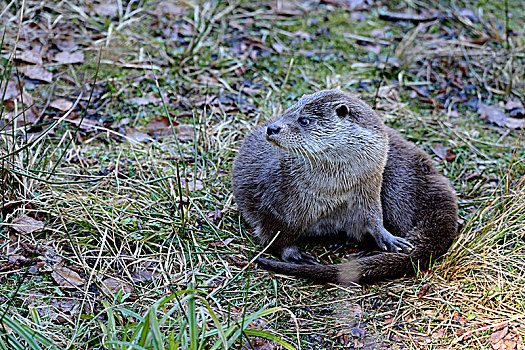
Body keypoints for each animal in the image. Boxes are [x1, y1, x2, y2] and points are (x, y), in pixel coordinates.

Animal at [231, 90, 456, 284]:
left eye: (304, 120)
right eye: (287, 112)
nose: (272, 128)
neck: (331, 190)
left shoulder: (368, 191)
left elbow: (372, 219)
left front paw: (387, 237)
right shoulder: (275, 202)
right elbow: (275, 234)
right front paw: (293, 255)